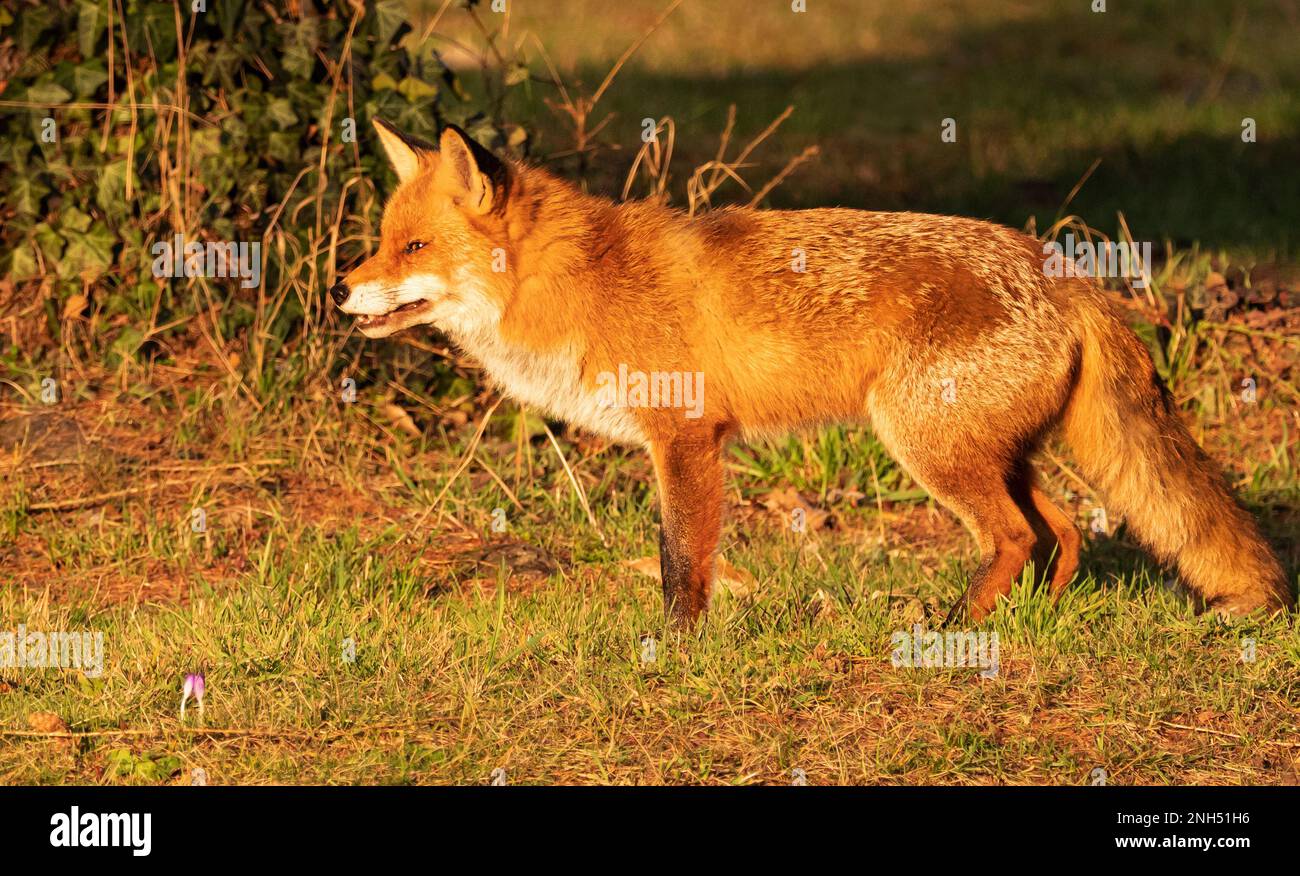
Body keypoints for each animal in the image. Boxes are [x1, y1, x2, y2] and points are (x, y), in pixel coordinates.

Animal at [330, 119, 1294, 623]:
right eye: (382, 240)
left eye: (414, 248)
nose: (340, 287)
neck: (580, 282)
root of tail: (1063, 270)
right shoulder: (681, 443)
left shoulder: (687, 438)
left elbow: (681, 562)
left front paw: (675, 649)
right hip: (993, 454)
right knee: (1063, 530)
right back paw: (1031, 622)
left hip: (931, 450)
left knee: (1020, 535)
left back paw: (956, 628)